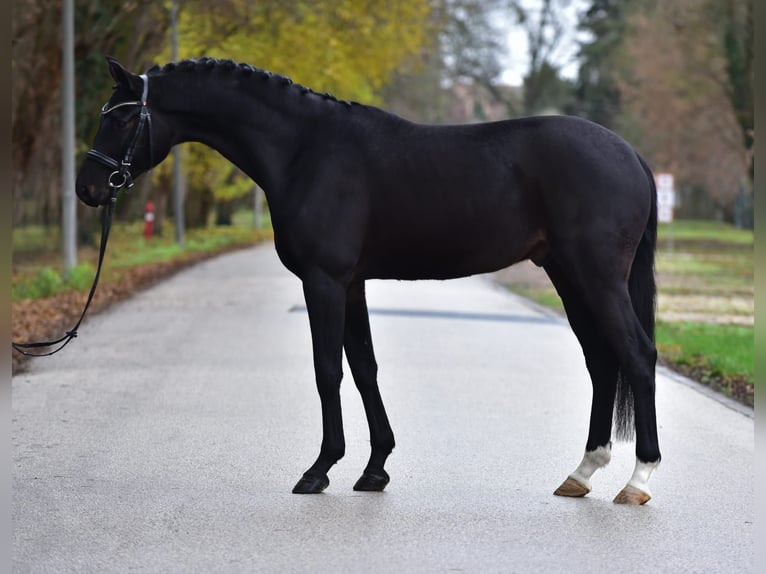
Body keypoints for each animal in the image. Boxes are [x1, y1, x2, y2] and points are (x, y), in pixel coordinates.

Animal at [75, 57, 661, 504]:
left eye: (123, 121)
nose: (88, 188)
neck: (305, 149)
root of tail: (631, 154)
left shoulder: (325, 281)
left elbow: (328, 370)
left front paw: (319, 469)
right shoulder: (350, 283)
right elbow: (364, 368)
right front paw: (375, 468)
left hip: (596, 277)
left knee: (636, 355)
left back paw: (638, 480)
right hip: (567, 275)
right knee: (601, 360)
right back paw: (582, 473)